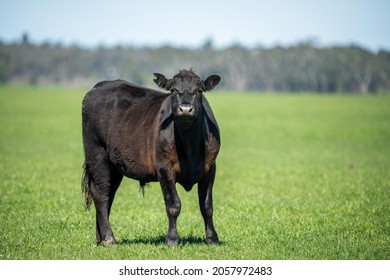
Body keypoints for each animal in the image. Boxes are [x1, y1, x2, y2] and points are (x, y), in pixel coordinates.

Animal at [81, 68, 222, 245]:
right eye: (173, 90)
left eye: (199, 91)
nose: (185, 109)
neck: (190, 145)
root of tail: (98, 87)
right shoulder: (164, 169)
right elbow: (173, 205)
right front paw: (172, 239)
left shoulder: (210, 168)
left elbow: (207, 206)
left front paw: (212, 238)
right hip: (97, 153)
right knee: (101, 194)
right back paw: (108, 238)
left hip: (115, 165)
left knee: (108, 193)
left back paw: (100, 238)